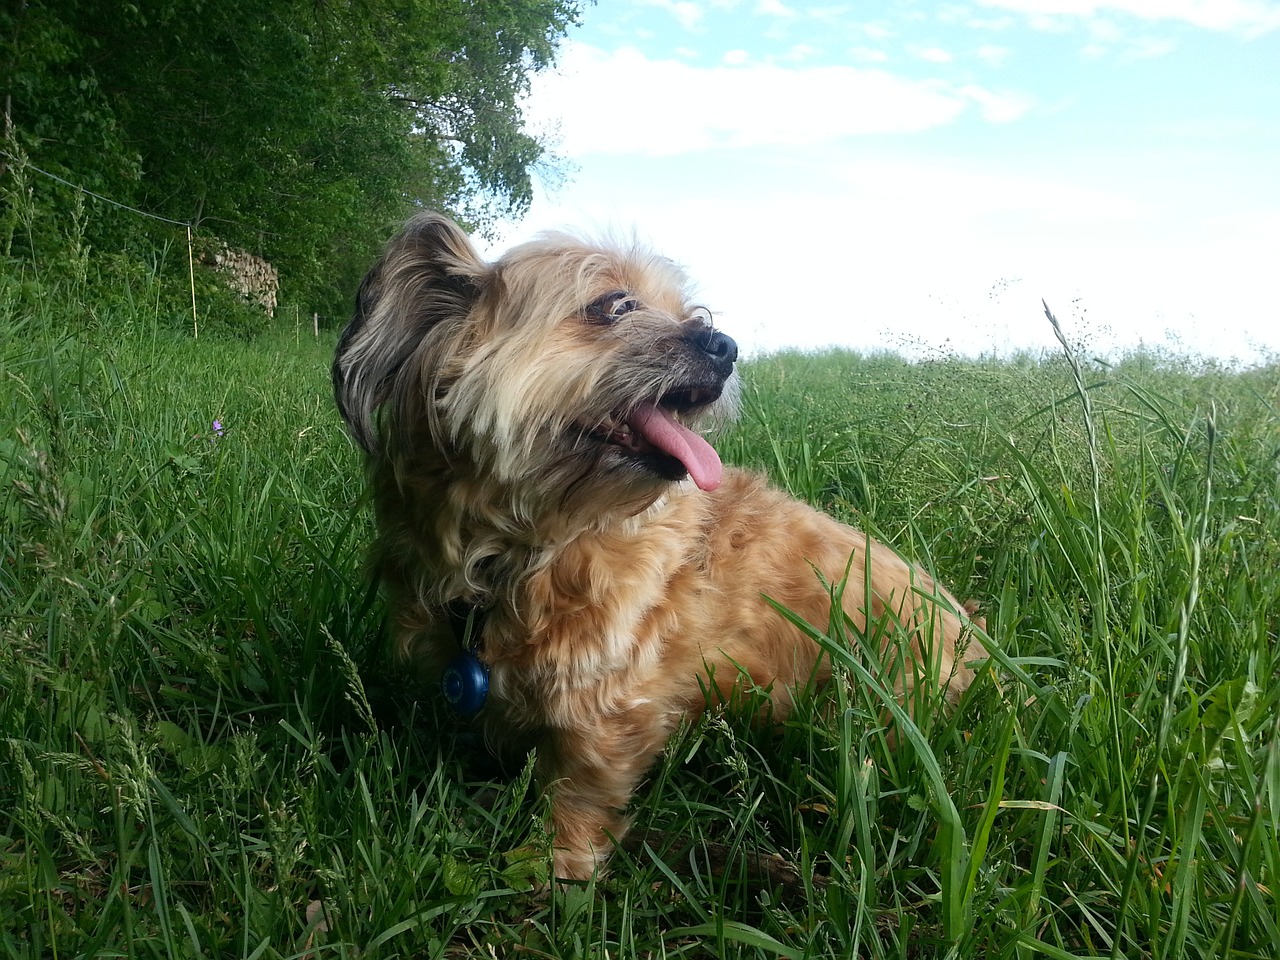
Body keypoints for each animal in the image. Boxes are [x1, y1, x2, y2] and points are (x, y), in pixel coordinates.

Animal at [332, 213, 988, 885]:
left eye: (691, 311)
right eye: (614, 305)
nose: (724, 345)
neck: (534, 543)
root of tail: (971, 635)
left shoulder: (609, 706)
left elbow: (579, 791)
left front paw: (559, 867)